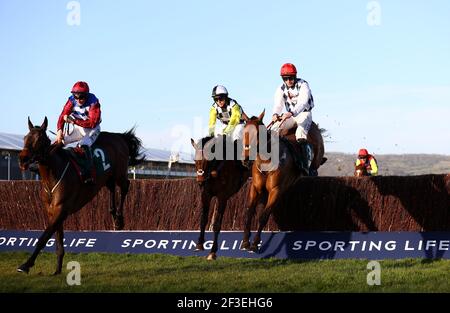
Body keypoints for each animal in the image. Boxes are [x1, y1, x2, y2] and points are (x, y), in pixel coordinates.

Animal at [17, 117, 142, 272]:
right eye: (25, 138)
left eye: (39, 139)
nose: (22, 159)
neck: (53, 174)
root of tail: (119, 136)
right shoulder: (52, 211)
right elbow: (58, 240)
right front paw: (57, 270)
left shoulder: (61, 209)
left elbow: (43, 237)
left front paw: (26, 264)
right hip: (108, 176)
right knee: (112, 188)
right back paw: (113, 214)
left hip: (119, 173)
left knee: (125, 186)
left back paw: (119, 219)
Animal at [241, 110, 326, 251]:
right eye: (244, 132)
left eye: (257, 134)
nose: (245, 160)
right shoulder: (256, 187)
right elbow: (249, 213)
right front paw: (245, 242)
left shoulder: (276, 190)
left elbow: (264, 216)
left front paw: (255, 243)